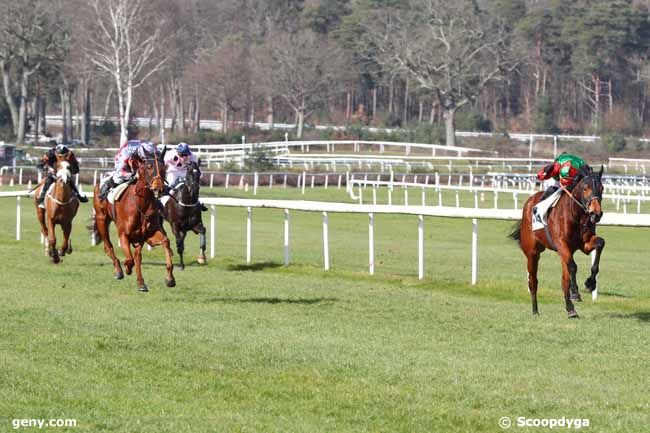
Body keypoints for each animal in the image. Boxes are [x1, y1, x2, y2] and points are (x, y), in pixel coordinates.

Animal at [91, 151, 176, 290]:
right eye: (149, 167)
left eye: (164, 168)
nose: (159, 188)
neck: (141, 204)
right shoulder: (124, 234)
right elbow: (129, 259)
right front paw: (126, 268)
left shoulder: (146, 235)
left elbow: (165, 242)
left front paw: (170, 278)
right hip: (101, 219)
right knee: (108, 246)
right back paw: (119, 271)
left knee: (137, 256)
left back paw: (141, 282)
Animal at [508, 165, 604, 318]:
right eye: (585, 188)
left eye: (602, 188)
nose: (596, 214)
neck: (576, 216)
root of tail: (529, 203)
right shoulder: (561, 244)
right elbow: (573, 267)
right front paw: (575, 292)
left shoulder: (584, 244)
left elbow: (600, 243)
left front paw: (591, 283)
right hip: (532, 253)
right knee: (533, 281)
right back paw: (535, 310)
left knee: (564, 280)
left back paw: (570, 309)